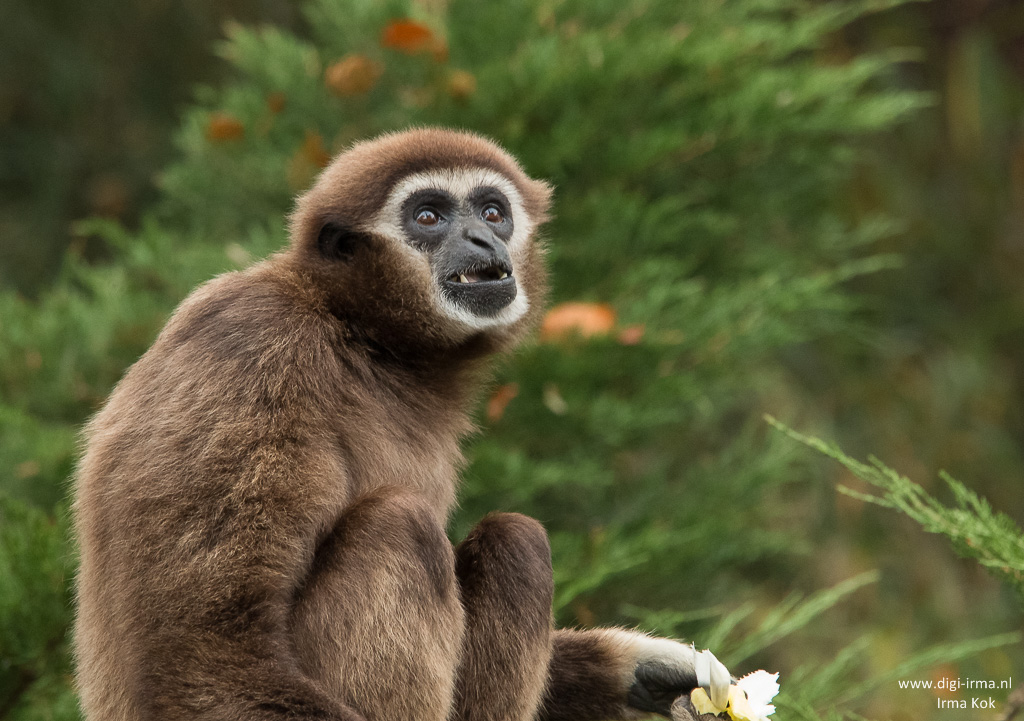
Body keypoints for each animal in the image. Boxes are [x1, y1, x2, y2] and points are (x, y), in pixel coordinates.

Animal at [72, 127, 732, 721]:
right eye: (429, 216)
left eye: (493, 211)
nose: (481, 236)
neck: (356, 334)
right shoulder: (252, 354)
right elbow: (201, 651)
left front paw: (646, 668)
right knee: (402, 525)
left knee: (514, 540)